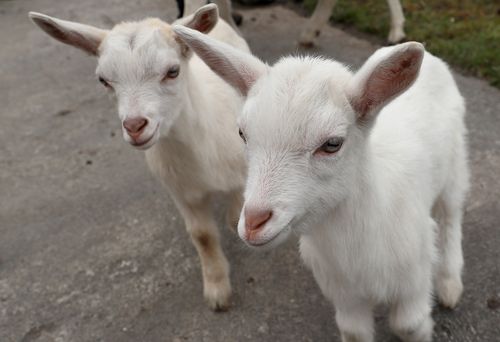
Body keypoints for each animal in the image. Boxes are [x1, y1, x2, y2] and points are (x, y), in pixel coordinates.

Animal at [27, 4, 248, 310]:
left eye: (172, 71)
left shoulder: (240, 175)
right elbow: (202, 235)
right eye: (103, 80)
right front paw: (217, 289)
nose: (134, 126)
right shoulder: (181, 192)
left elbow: (235, 214)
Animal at [173, 26, 468, 340]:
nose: (254, 222)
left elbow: (408, 324)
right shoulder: (344, 295)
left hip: (455, 167)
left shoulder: (413, 282)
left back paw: (449, 283)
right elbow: (353, 330)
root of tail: (433, 60)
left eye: (332, 144)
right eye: (242, 133)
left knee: (451, 215)